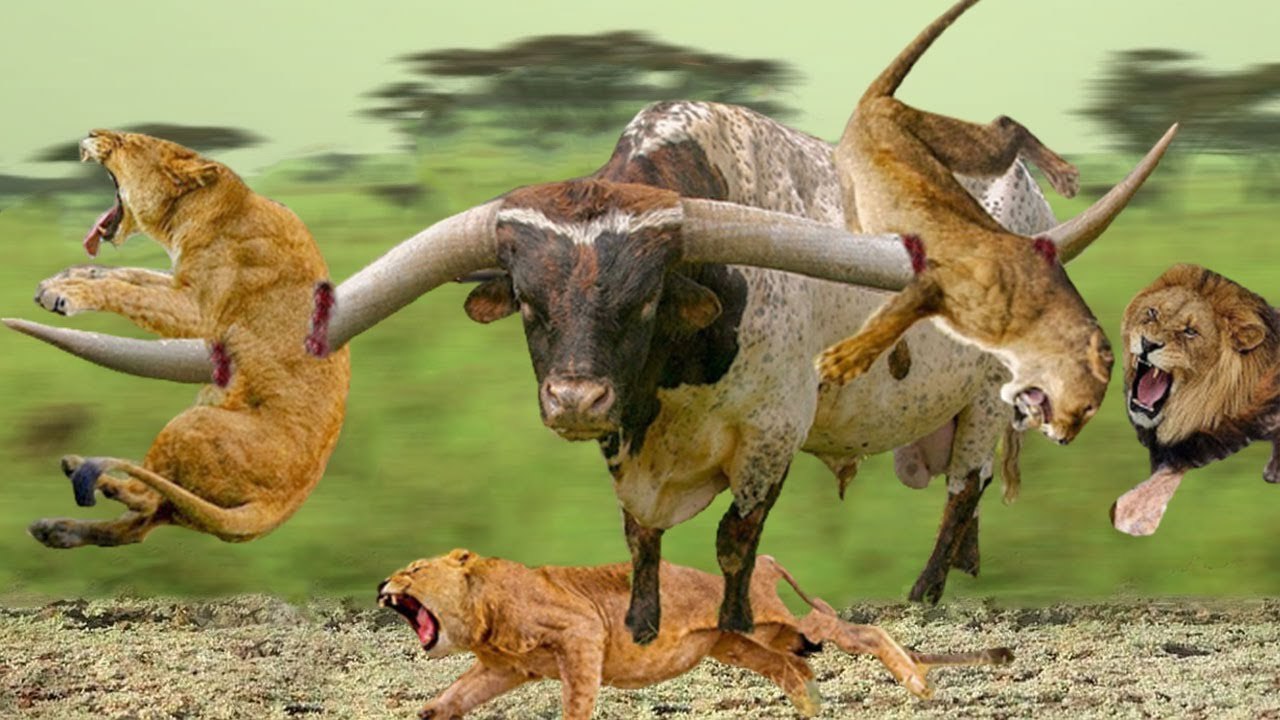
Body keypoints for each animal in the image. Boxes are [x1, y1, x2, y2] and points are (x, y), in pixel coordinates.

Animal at [15, 129, 350, 548]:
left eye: (126, 141)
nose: (92, 133)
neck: (200, 209)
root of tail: (279, 507)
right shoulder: (178, 283)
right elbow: (130, 275)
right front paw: (72, 275)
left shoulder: (197, 310)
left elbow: (125, 289)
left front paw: (64, 293)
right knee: (140, 522)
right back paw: (57, 526)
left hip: (193, 423)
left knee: (146, 500)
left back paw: (91, 479)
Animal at [378, 549, 1013, 719]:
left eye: (414, 568)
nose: (383, 582)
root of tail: (765, 562)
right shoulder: (502, 667)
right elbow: (453, 698)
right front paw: (428, 713)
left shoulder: (580, 631)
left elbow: (578, 697)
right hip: (741, 644)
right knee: (794, 666)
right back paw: (812, 706)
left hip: (774, 620)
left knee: (855, 628)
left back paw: (917, 682)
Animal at [813, 0, 1174, 445]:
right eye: (1089, 409)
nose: (1064, 438)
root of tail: (878, 101)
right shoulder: (941, 281)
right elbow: (891, 318)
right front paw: (842, 362)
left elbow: (891, 312)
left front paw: (876, 360)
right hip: (971, 155)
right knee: (1006, 125)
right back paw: (1066, 176)